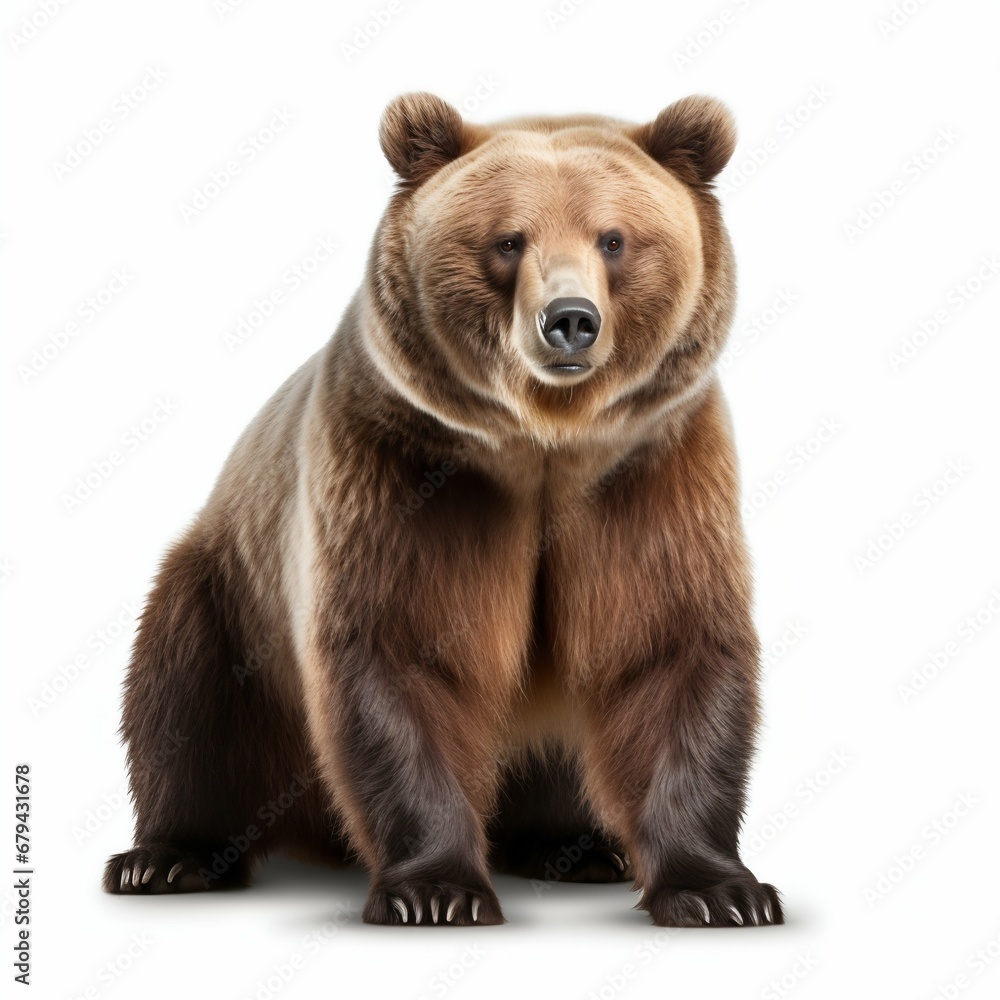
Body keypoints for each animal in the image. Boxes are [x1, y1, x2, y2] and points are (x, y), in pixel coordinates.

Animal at [103, 91, 783, 928]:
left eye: (615, 238)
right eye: (508, 240)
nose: (569, 319)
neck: (546, 445)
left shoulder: (650, 474)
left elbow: (669, 649)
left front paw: (723, 891)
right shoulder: (406, 474)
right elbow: (400, 652)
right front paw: (435, 889)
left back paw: (576, 848)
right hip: (227, 589)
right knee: (185, 695)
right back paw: (167, 857)